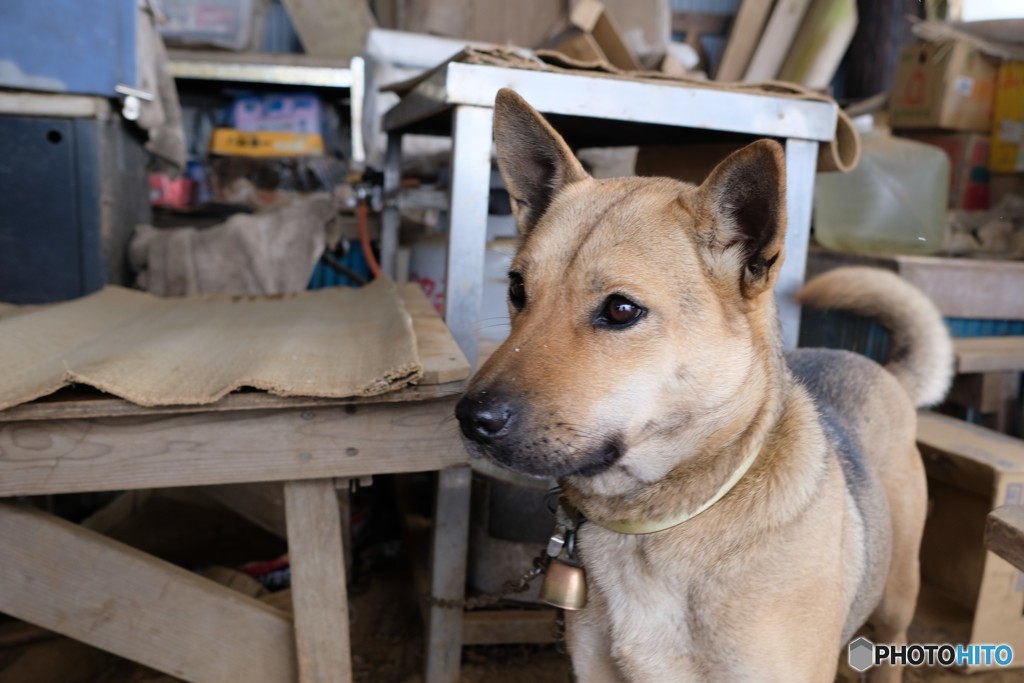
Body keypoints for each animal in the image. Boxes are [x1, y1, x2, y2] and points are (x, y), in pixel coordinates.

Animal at [456, 88, 950, 679]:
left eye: (621, 310)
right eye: (516, 288)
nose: (471, 419)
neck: (658, 522)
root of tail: (878, 367)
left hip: (898, 596)